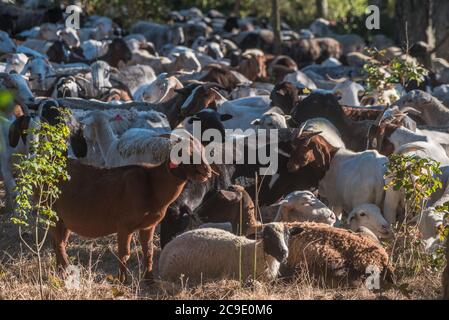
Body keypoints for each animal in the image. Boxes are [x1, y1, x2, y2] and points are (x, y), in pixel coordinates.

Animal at [51, 140, 213, 282]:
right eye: (183, 153)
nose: (207, 170)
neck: (152, 184)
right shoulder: (124, 225)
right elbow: (124, 254)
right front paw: (122, 280)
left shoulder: (149, 226)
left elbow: (148, 252)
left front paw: (150, 279)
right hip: (53, 214)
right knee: (59, 244)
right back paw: (66, 271)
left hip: (65, 221)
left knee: (59, 243)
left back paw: (60, 272)